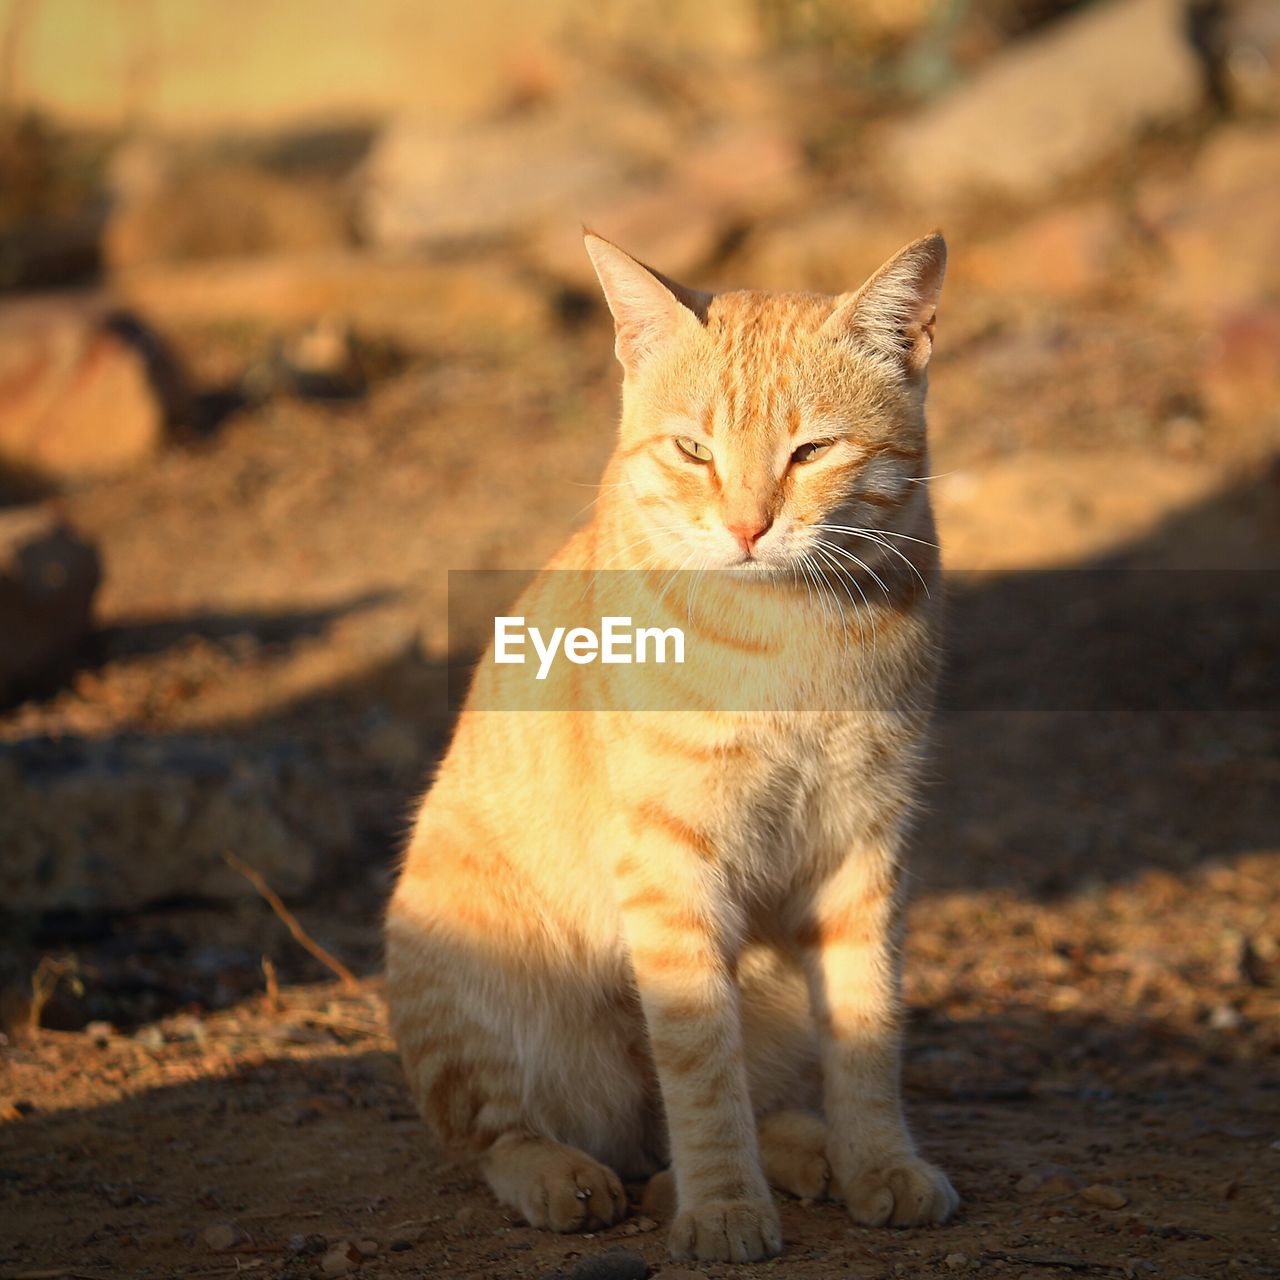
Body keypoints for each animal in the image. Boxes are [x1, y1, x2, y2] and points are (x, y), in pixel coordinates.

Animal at [384, 227, 957, 1259]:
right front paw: (724, 1207)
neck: (791, 631)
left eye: (812, 450)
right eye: (694, 449)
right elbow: (697, 1061)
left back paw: (808, 1153)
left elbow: (868, 1025)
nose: (747, 527)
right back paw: (568, 1178)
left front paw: (879, 1163)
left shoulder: (865, 838)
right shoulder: (669, 855)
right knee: (506, 1133)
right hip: (468, 973)